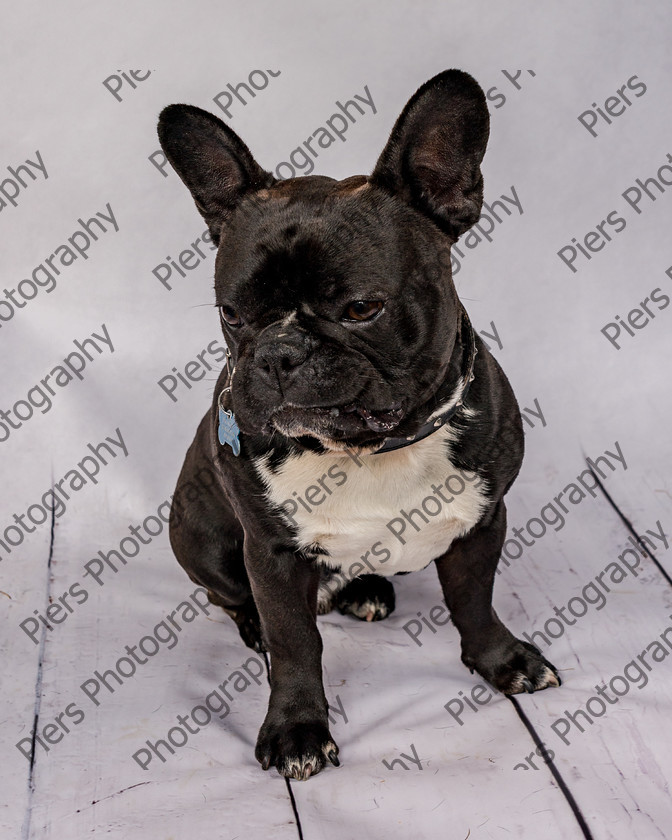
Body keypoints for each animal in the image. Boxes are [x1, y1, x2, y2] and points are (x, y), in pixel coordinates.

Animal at [158, 70, 560, 780]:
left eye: (361, 308)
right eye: (231, 314)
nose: (279, 352)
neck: (370, 449)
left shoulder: (483, 520)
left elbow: (475, 601)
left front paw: (501, 660)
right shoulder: (272, 553)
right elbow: (296, 645)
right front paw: (297, 728)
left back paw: (364, 588)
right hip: (198, 537)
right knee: (229, 597)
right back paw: (256, 624)